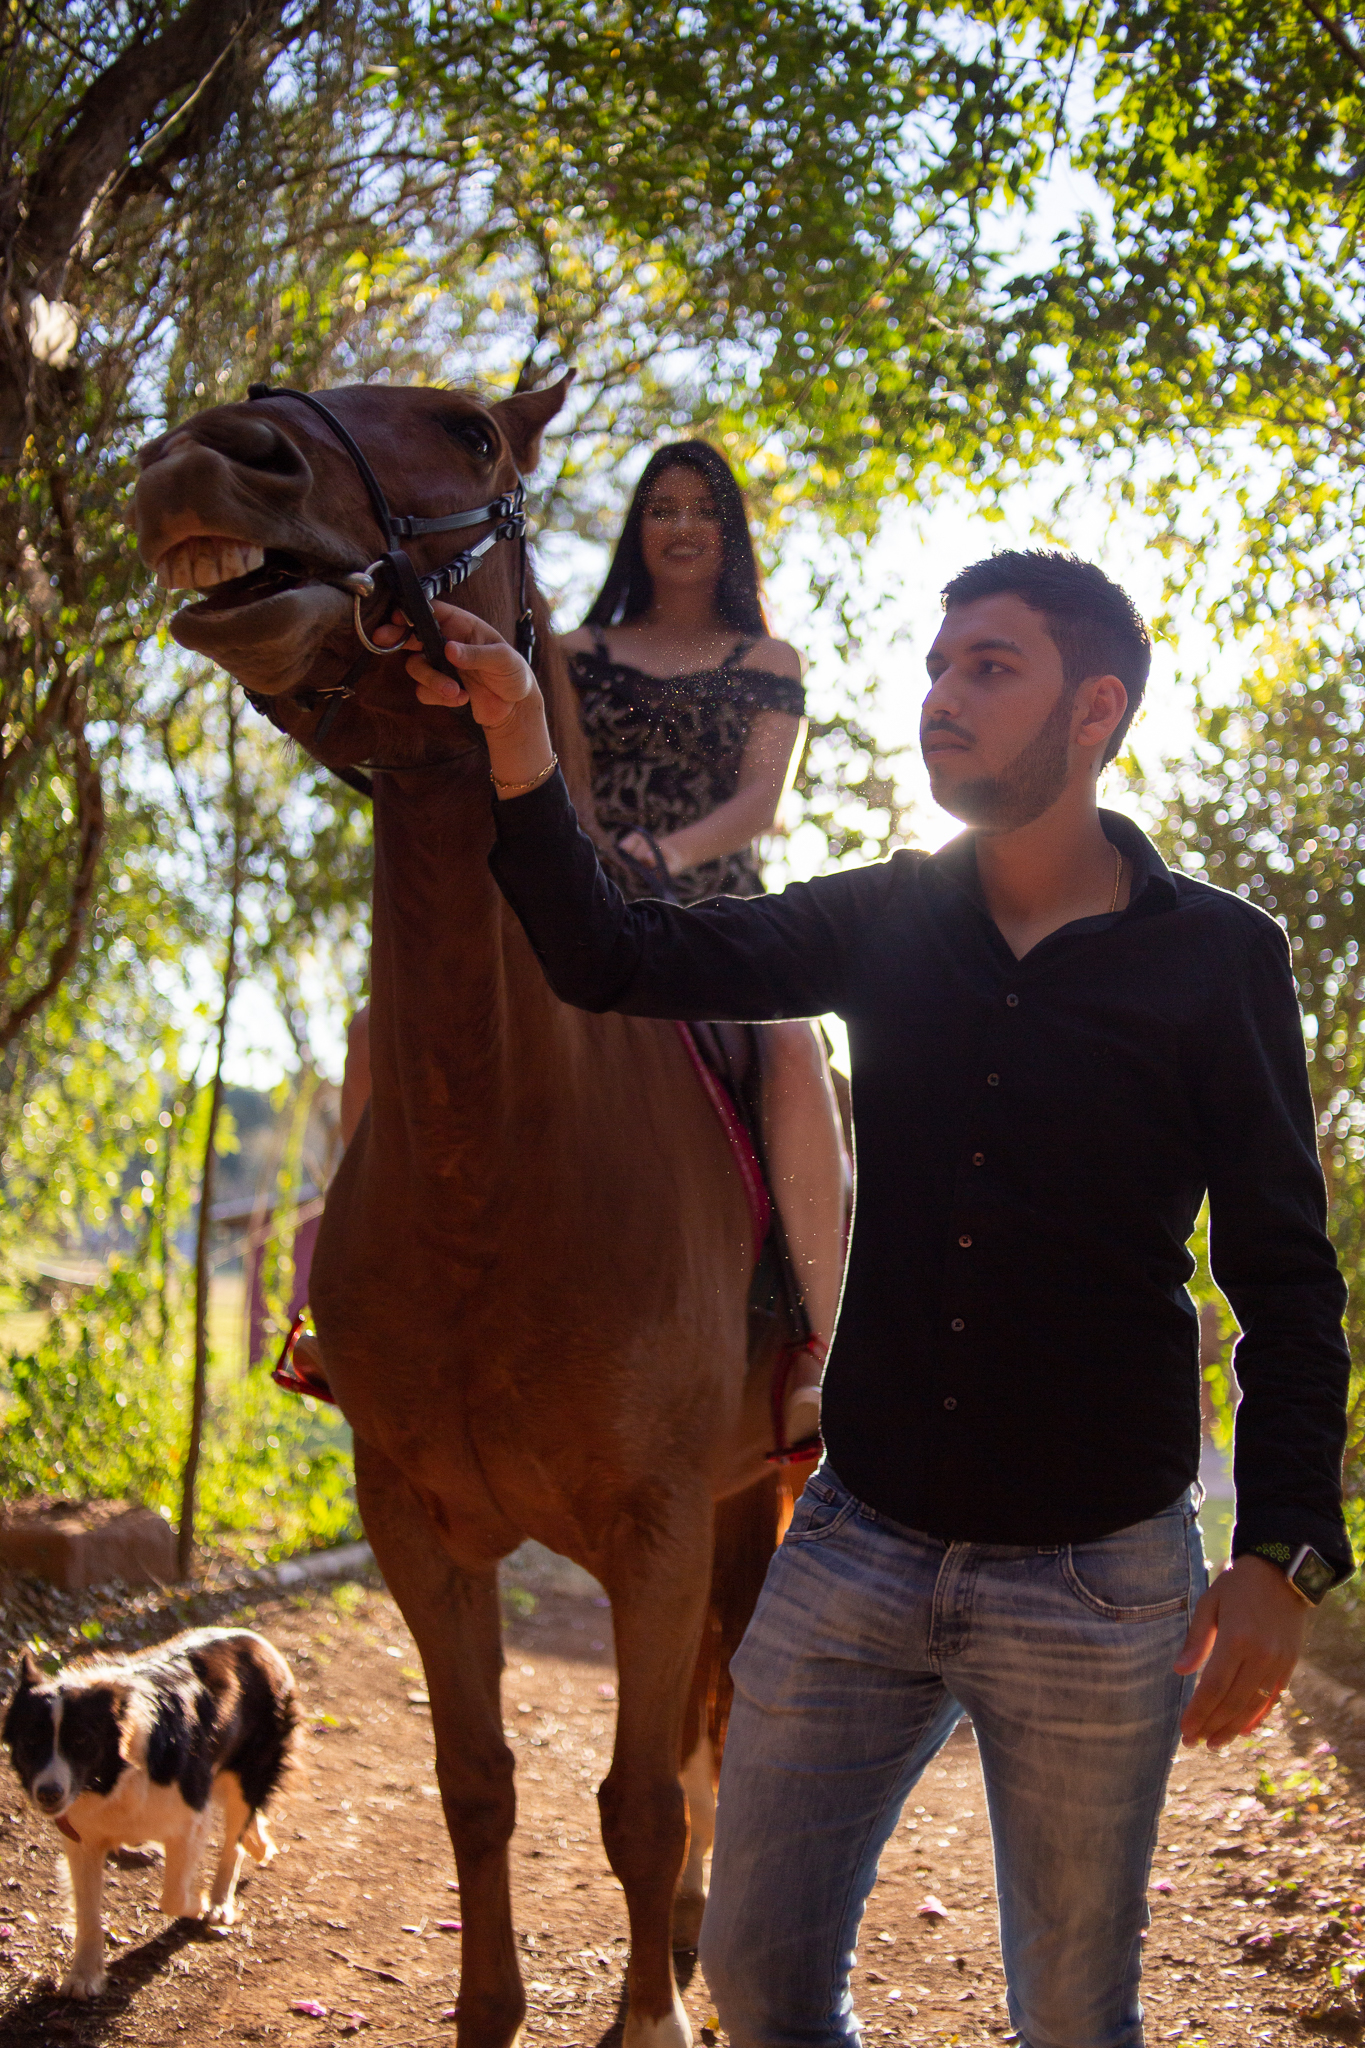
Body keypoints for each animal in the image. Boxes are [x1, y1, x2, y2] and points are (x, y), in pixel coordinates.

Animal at [2, 1627, 297, 1998]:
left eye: (82, 1741)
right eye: (31, 1742)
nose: (48, 1793)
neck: (115, 1775)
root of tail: (255, 1640)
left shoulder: (189, 1816)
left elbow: (173, 1896)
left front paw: (199, 1903)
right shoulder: (83, 1835)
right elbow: (87, 1912)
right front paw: (84, 1976)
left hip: (248, 1771)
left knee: (235, 1839)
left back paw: (219, 1902)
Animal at [133, 374, 803, 2048]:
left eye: (475, 435)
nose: (206, 458)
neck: (494, 1174)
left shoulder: (652, 1530)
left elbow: (636, 1797)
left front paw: (649, 2015)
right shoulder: (419, 1528)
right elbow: (478, 1783)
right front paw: (496, 2007)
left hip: (760, 1495)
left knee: (716, 1725)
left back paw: (693, 1943)